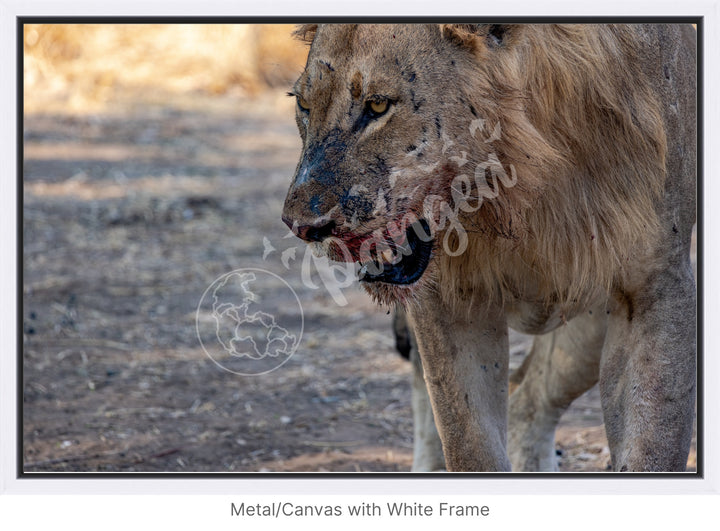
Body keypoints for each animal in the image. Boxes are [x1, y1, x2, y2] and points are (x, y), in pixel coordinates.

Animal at [278, 23, 696, 474]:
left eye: (377, 105)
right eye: (303, 104)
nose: (302, 226)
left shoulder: (655, 284)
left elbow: (653, 443)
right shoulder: (449, 299)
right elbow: (469, 442)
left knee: (529, 398)